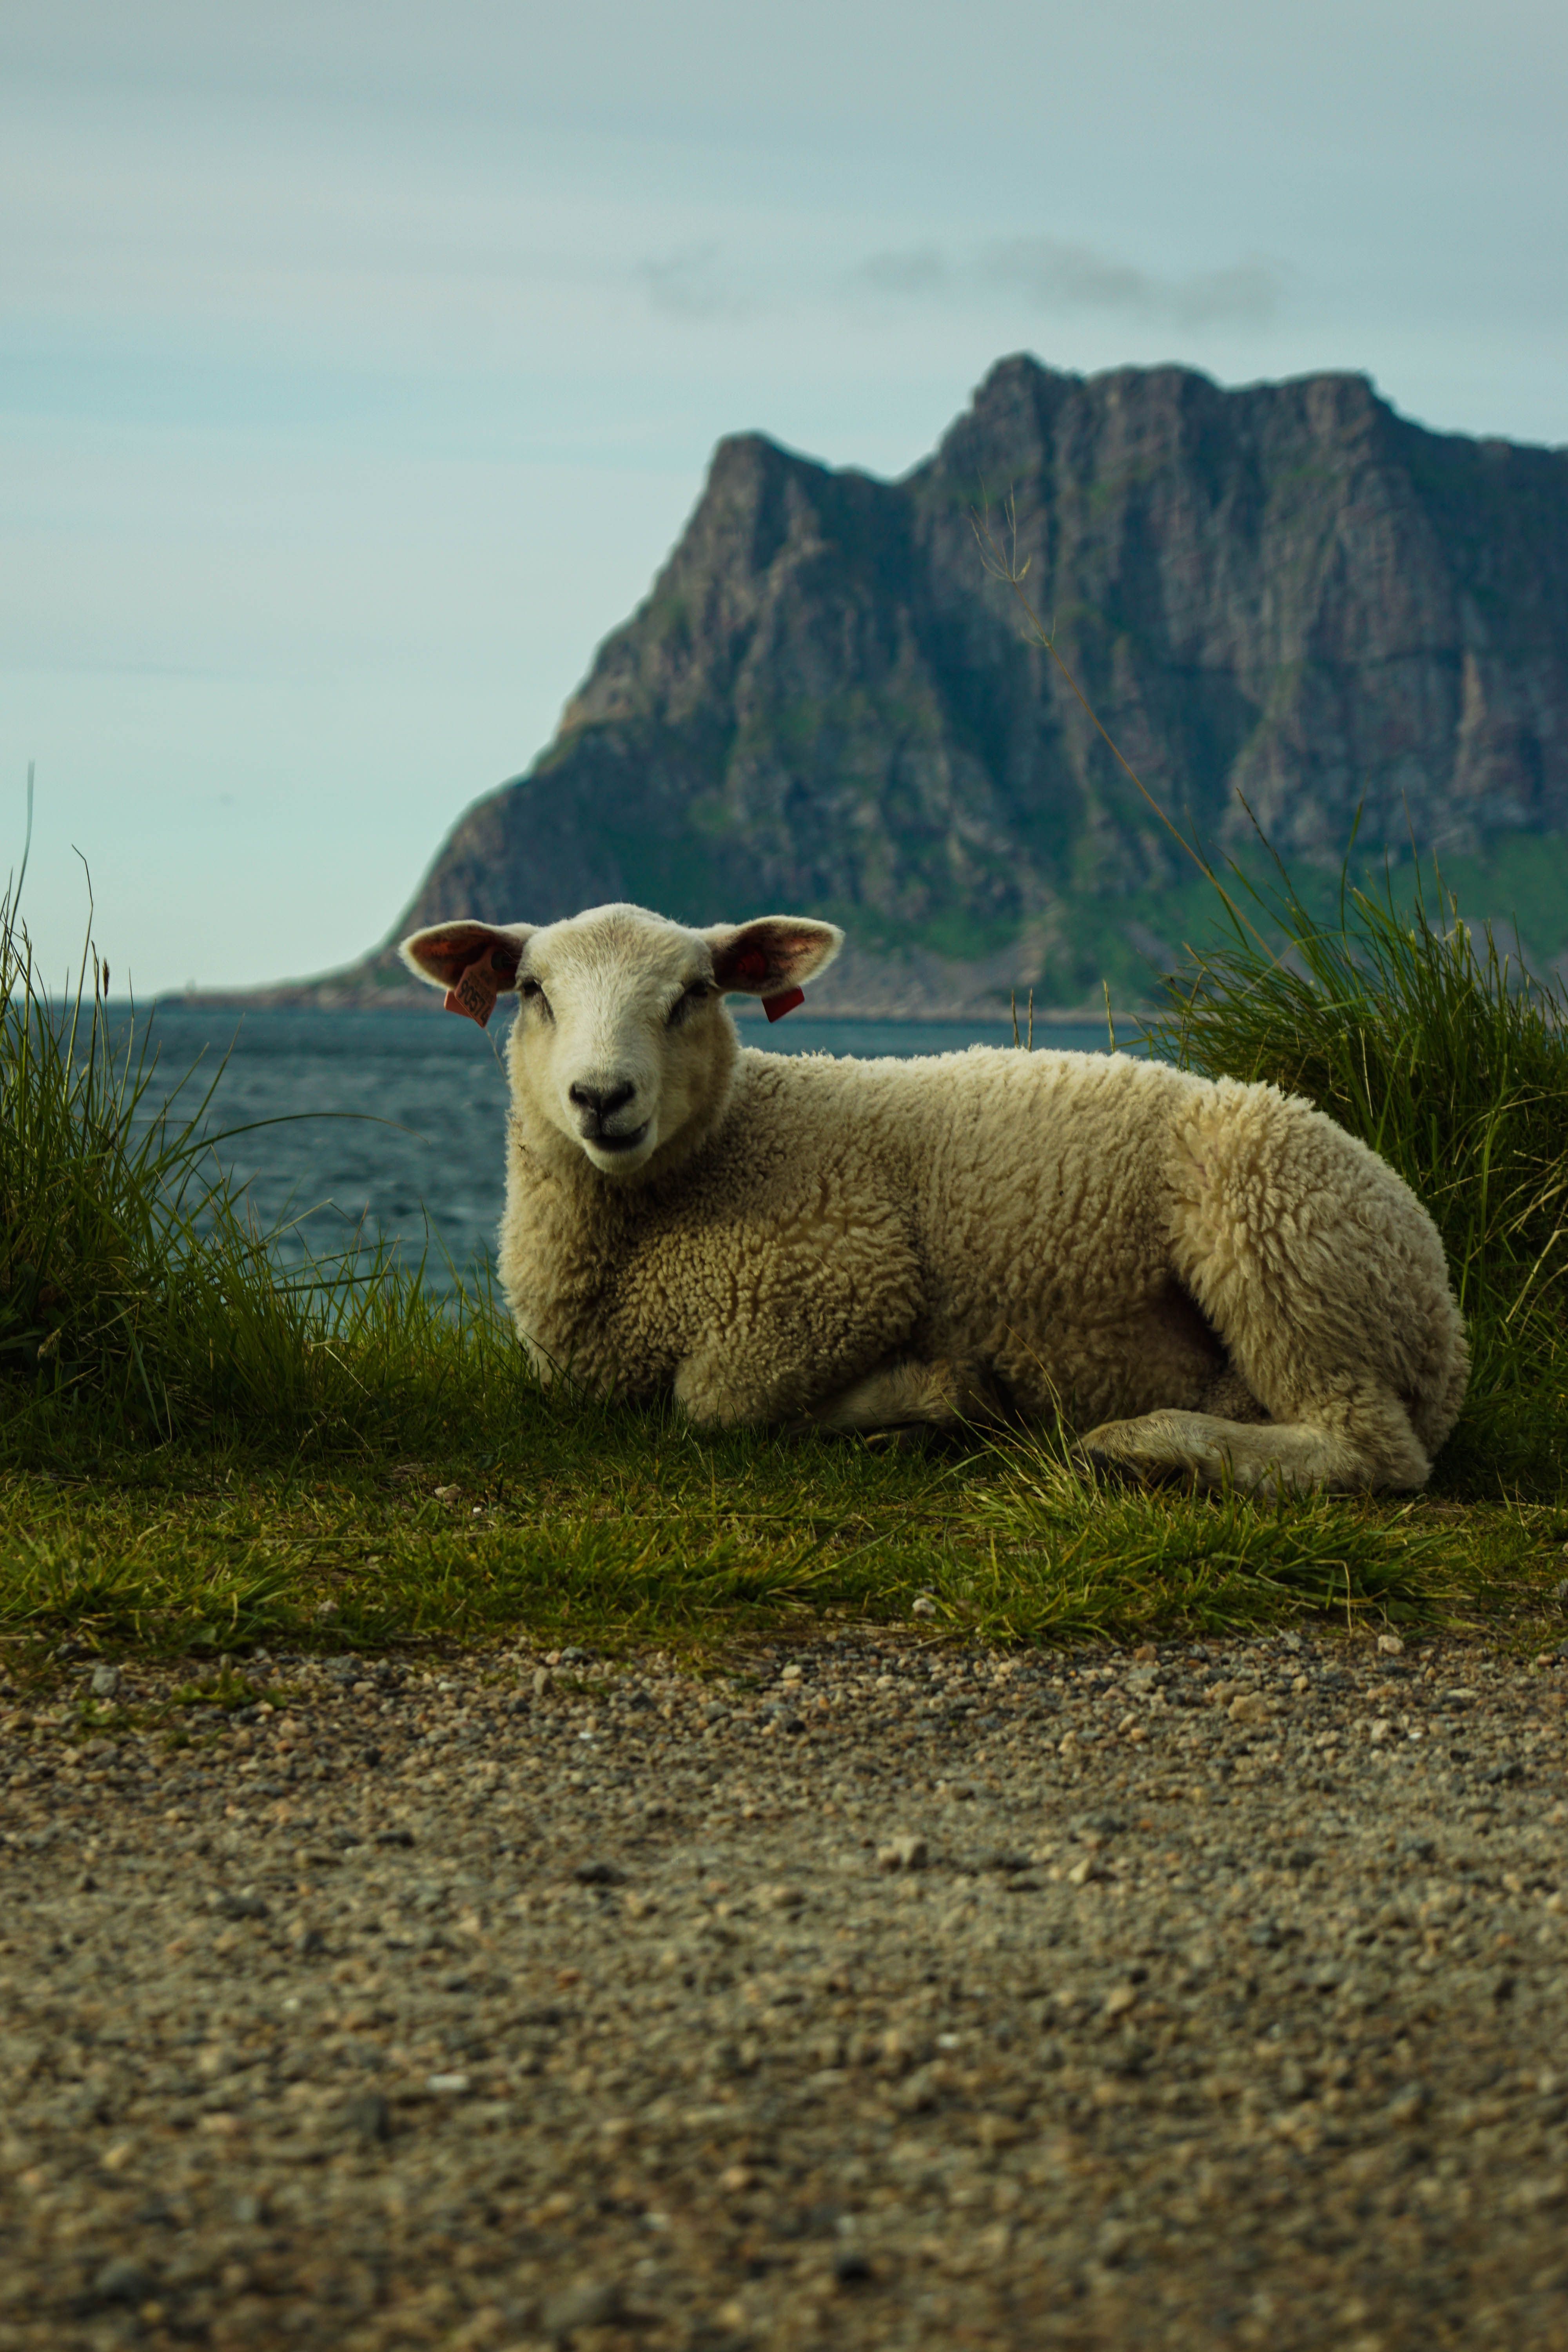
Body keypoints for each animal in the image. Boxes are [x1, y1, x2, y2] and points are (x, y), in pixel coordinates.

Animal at [400, 901, 1468, 1493]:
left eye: (695, 992)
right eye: (533, 990)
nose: (601, 1097)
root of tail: (1440, 1303)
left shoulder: (841, 1273)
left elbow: (713, 1403)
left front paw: (934, 1397)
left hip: (1272, 1239)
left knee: (1371, 1452)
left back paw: (1142, 1448)